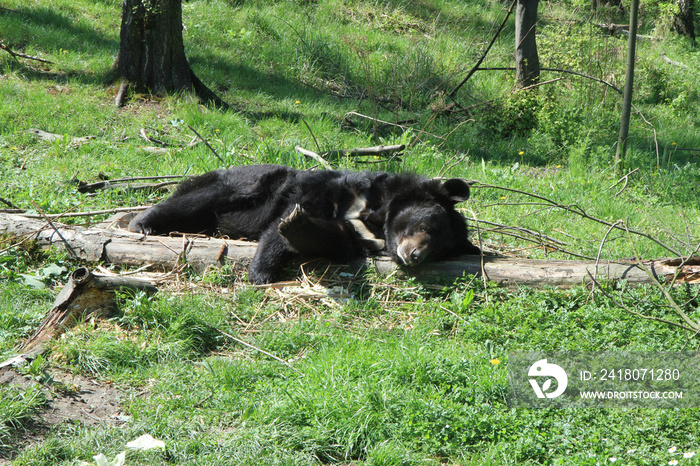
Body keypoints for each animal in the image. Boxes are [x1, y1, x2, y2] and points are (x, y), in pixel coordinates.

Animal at [129, 164, 478, 284]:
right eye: (426, 227)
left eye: (439, 251)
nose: (414, 255)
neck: (378, 221)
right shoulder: (338, 190)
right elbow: (292, 214)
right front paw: (262, 273)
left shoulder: (355, 235)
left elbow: (328, 237)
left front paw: (298, 230)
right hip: (245, 183)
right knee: (196, 200)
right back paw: (142, 223)